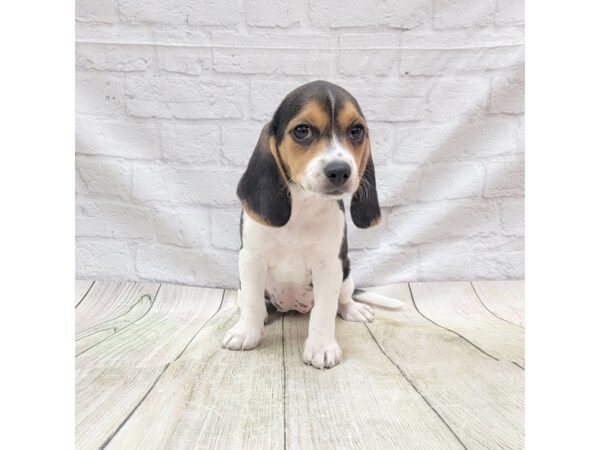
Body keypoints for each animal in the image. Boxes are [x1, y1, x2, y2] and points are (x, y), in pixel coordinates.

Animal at [221, 80, 394, 370]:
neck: (304, 205)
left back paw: (353, 309)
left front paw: (321, 347)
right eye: (302, 130)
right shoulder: (251, 258)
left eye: (356, 131)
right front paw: (246, 332)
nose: (340, 170)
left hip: (346, 275)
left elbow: (324, 310)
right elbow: (253, 302)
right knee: (250, 300)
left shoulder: (329, 265)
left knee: (343, 299)